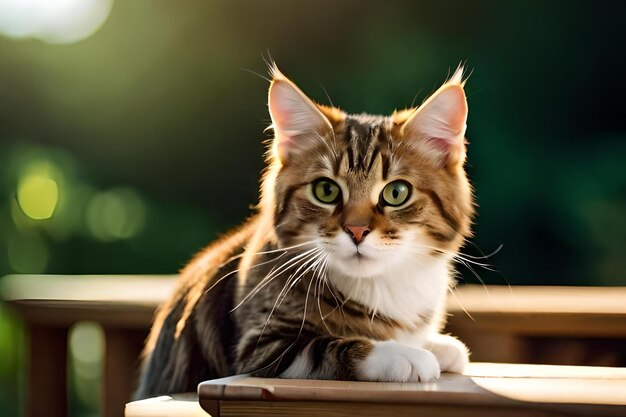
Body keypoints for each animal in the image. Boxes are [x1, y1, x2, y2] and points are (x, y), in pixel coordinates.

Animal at [134, 63, 470, 398]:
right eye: (326, 190)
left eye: (396, 193)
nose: (357, 230)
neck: (379, 283)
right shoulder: (262, 346)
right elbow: (334, 346)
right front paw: (404, 354)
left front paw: (436, 345)